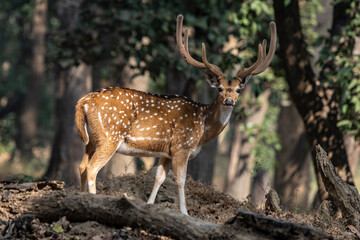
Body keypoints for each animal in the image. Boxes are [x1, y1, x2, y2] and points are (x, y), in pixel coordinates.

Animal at [76, 14, 278, 215]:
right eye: (220, 88)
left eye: (238, 90)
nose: (229, 101)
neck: (203, 128)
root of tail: (84, 101)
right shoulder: (182, 147)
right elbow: (180, 180)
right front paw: (184, 212)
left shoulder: (166, 152)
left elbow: (159, 178)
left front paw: (149, 205)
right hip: (109, 137)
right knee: (92, 168)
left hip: (91, 140)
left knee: (82, 166)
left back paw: (80, 197)